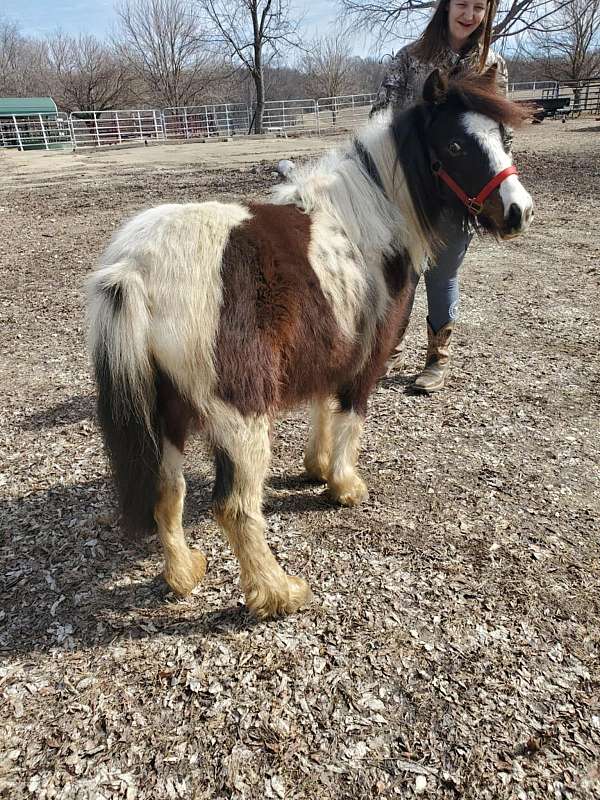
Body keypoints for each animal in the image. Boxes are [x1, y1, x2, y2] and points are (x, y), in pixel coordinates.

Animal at [86, 69, 532, 620]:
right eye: (453, 145)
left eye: (504, 137)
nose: (518, 212)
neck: (370, 216)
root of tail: (134, 268)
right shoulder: (368, 357)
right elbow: (350, 417)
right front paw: (343, 485)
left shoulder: (334, 348)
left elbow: (324, 407)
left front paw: (316, 467)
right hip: (241, 416)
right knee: (235, 507)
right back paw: (278, 594)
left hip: (166, 413)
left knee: (168, 493)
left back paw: (185, 573)